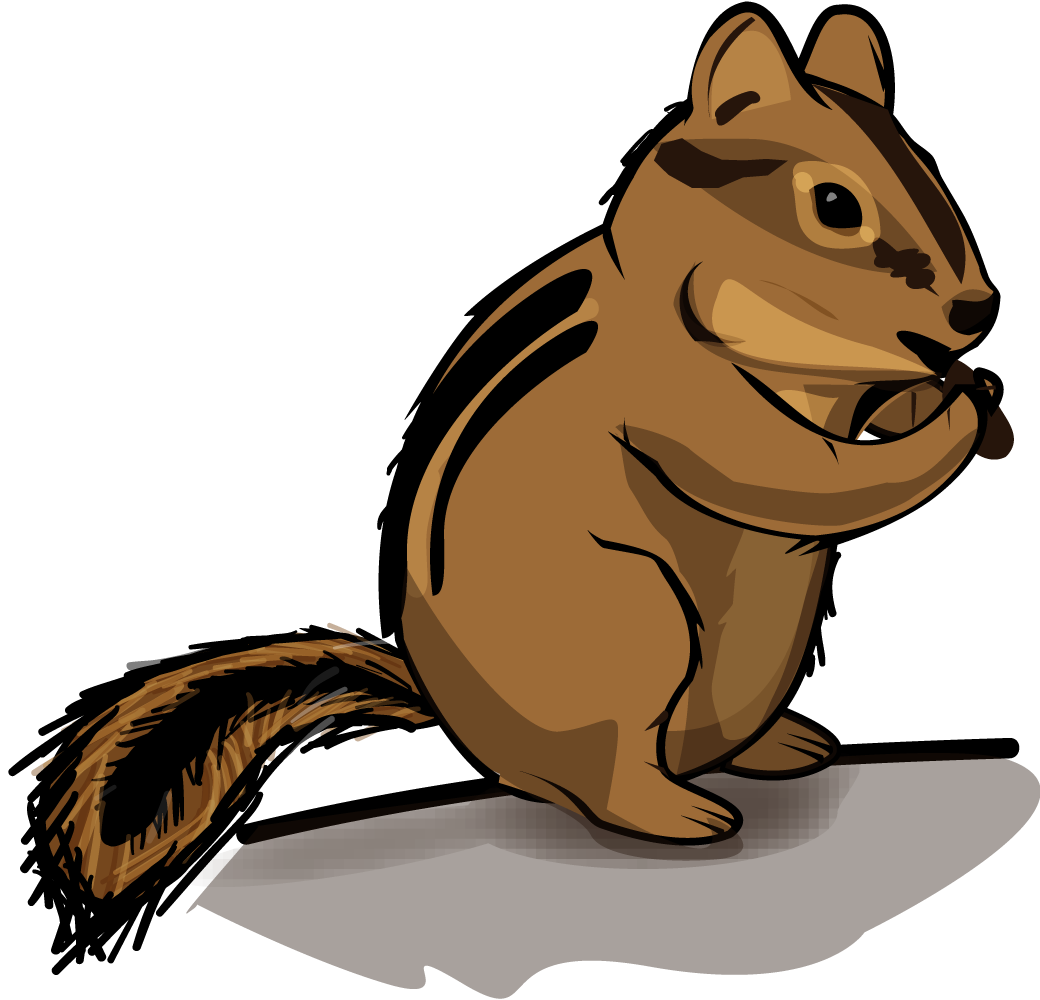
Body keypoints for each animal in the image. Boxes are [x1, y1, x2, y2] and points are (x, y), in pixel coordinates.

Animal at [34, 14, 1013, 907]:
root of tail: (455, 720)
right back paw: (680, 814)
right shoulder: (681, 401)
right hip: (634, 621)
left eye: (928, 173)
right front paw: (962, 415)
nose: (976, 310)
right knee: (591, 779)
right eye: (835, 206)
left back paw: (786, 748)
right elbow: (796, 473)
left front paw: (959, 393)